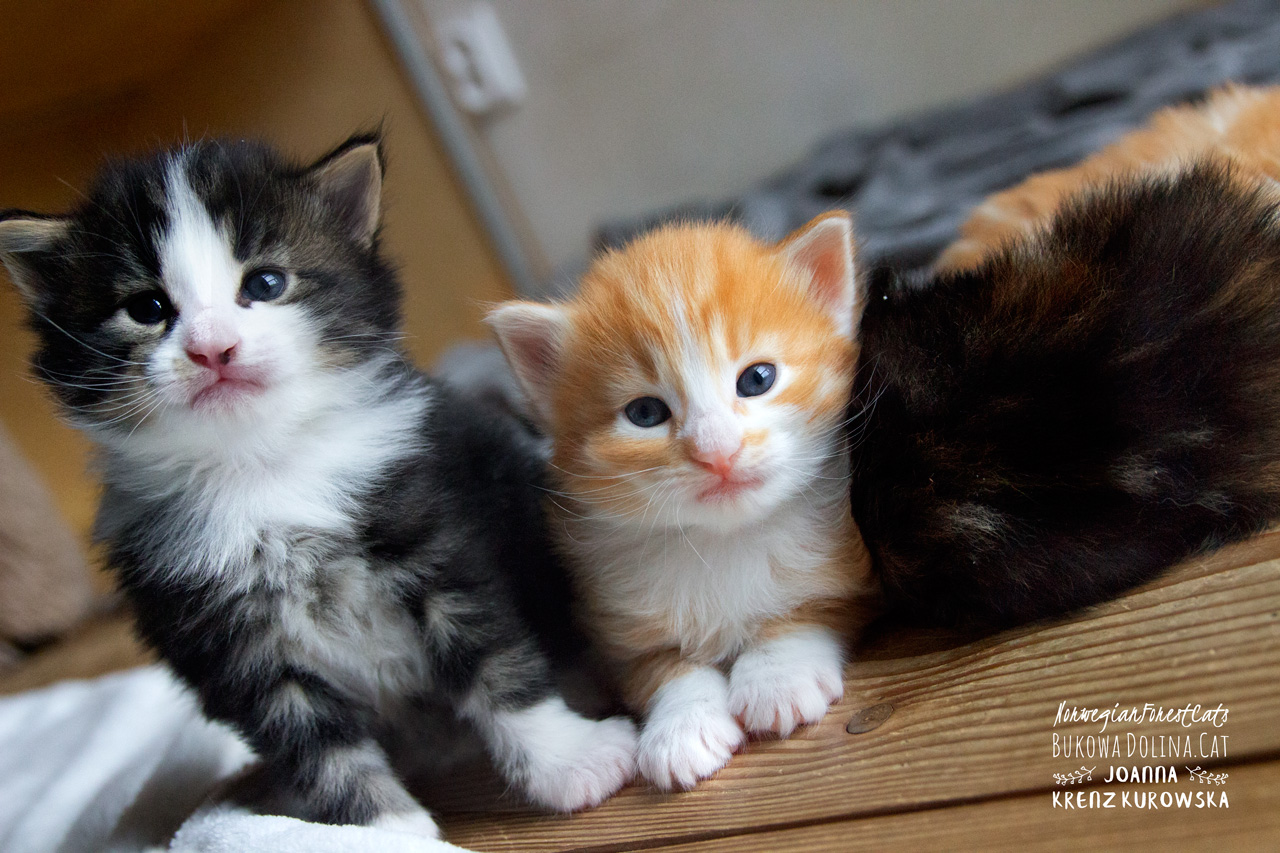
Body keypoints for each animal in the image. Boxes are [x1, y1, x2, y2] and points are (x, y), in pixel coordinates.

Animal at [0, 135, 637, 836]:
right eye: (146, 308)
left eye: (265, 284)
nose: (212, 348)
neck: (259, 471)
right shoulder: (230, 647)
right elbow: (319, 750)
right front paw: (388, 834)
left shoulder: (435, 535)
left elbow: (497, 660)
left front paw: (569, 762)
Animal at [488, 213, 877, 790]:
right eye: (645, 413)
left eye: (757, 379)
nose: (717, 451)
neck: (722, 541)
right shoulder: (618, 630)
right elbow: (665, 670)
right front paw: (682, 728)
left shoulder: (854, 570)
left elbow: (808, 609)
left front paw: (777, 677)